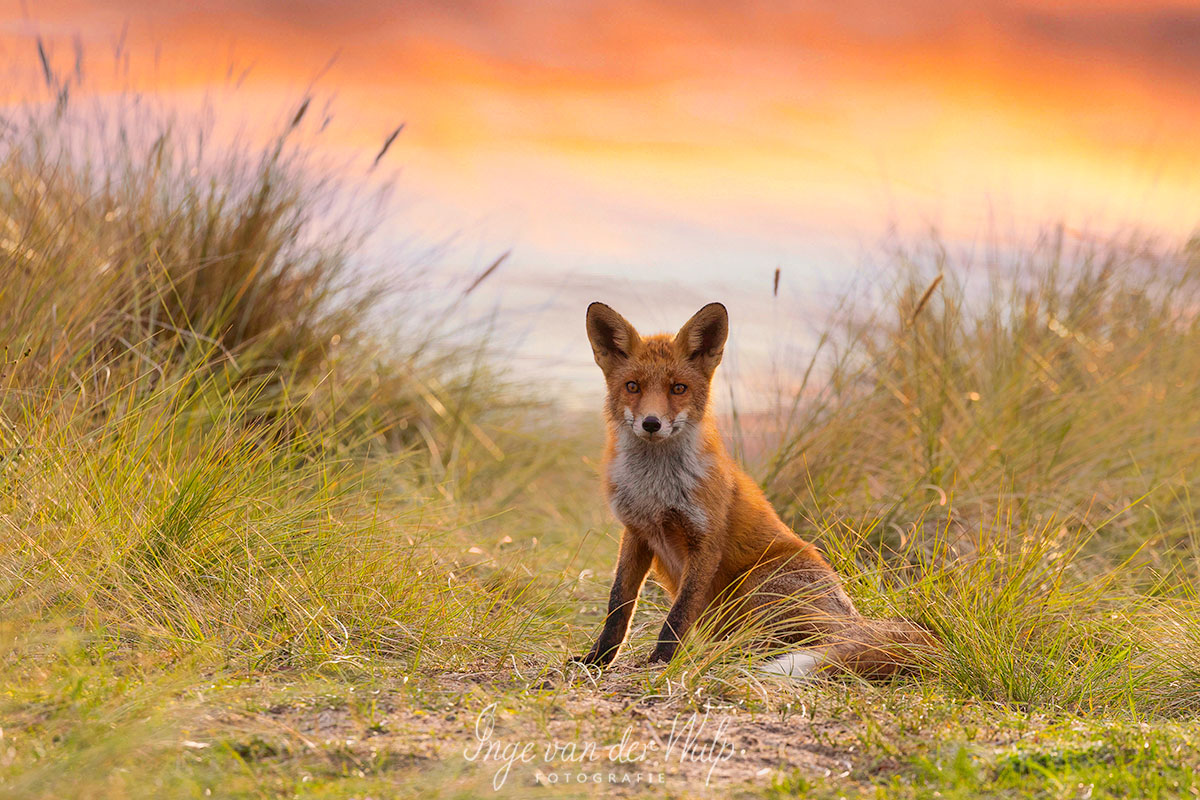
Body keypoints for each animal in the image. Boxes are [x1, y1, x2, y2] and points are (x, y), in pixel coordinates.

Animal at [571, 303, 936, 681]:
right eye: (633, 386)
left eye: (678, 388)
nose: (652, 423)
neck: (656, 491)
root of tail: (854, 620)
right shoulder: (637, 532)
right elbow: (618, 607)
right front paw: (598, 659)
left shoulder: (705, 540)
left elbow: (678, 614)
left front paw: (661, 661)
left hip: (756, 582)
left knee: (780, 644)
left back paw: (723, 656)